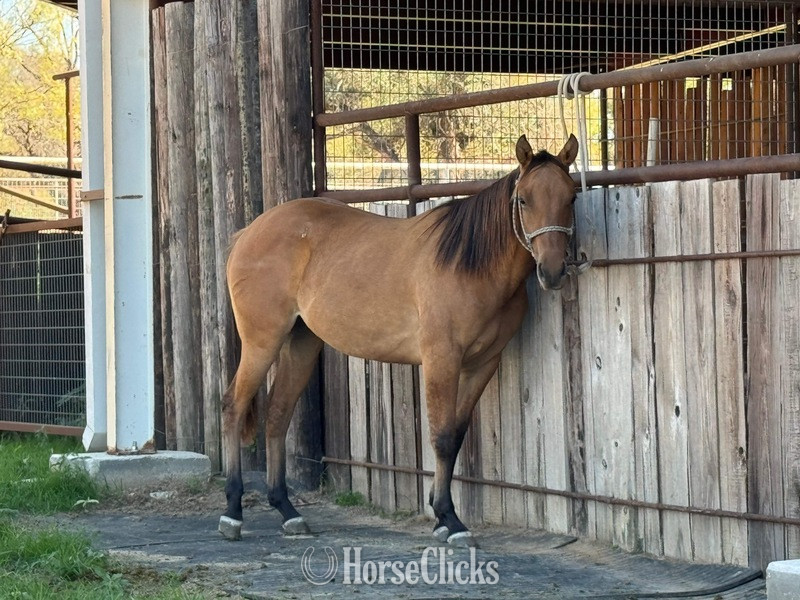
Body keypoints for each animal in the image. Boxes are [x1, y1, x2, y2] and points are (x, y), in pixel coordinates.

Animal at [218, 133, 579, 547]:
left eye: (571, 197)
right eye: (523, 200)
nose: (552, 272)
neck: (470, 264)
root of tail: (248, 233)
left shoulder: (484, 363)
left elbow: (455, 436)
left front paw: (440, 514)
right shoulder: (442, 359)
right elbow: (441, 437)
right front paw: (449, 519)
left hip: (302, 343)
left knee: (278, 414)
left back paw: (288, 511)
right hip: (262, 341)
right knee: (233, 407)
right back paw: (232, 513)